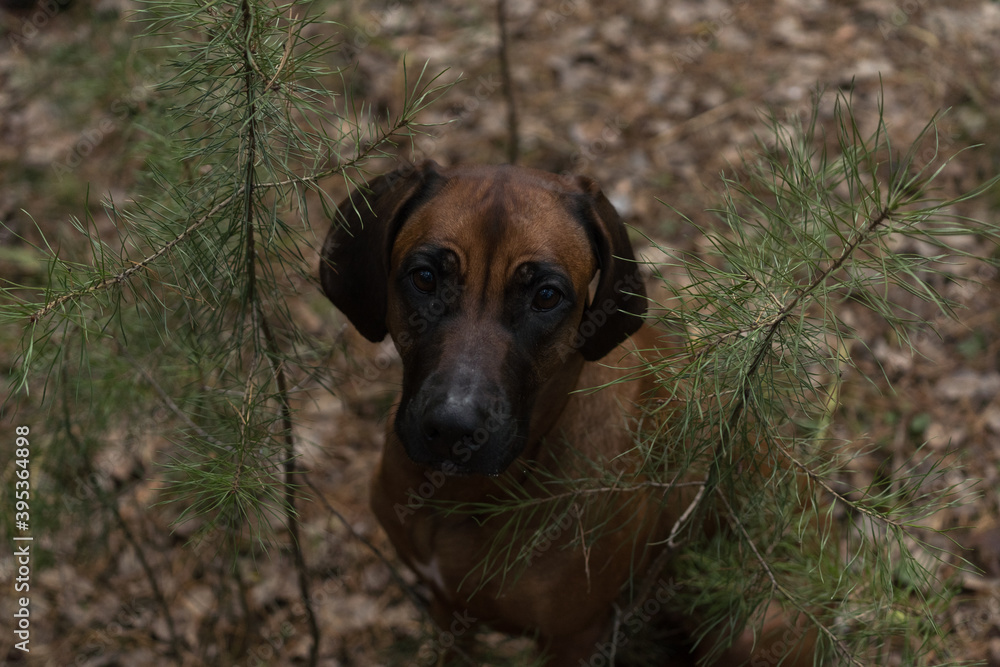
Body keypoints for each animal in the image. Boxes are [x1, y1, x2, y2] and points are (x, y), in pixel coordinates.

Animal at [320, 163, 820, 667]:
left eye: (546, 296)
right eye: (424, 277)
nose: (453, 429)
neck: (465, 496)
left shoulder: (573, 640)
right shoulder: (448, 615)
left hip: (752, 625)